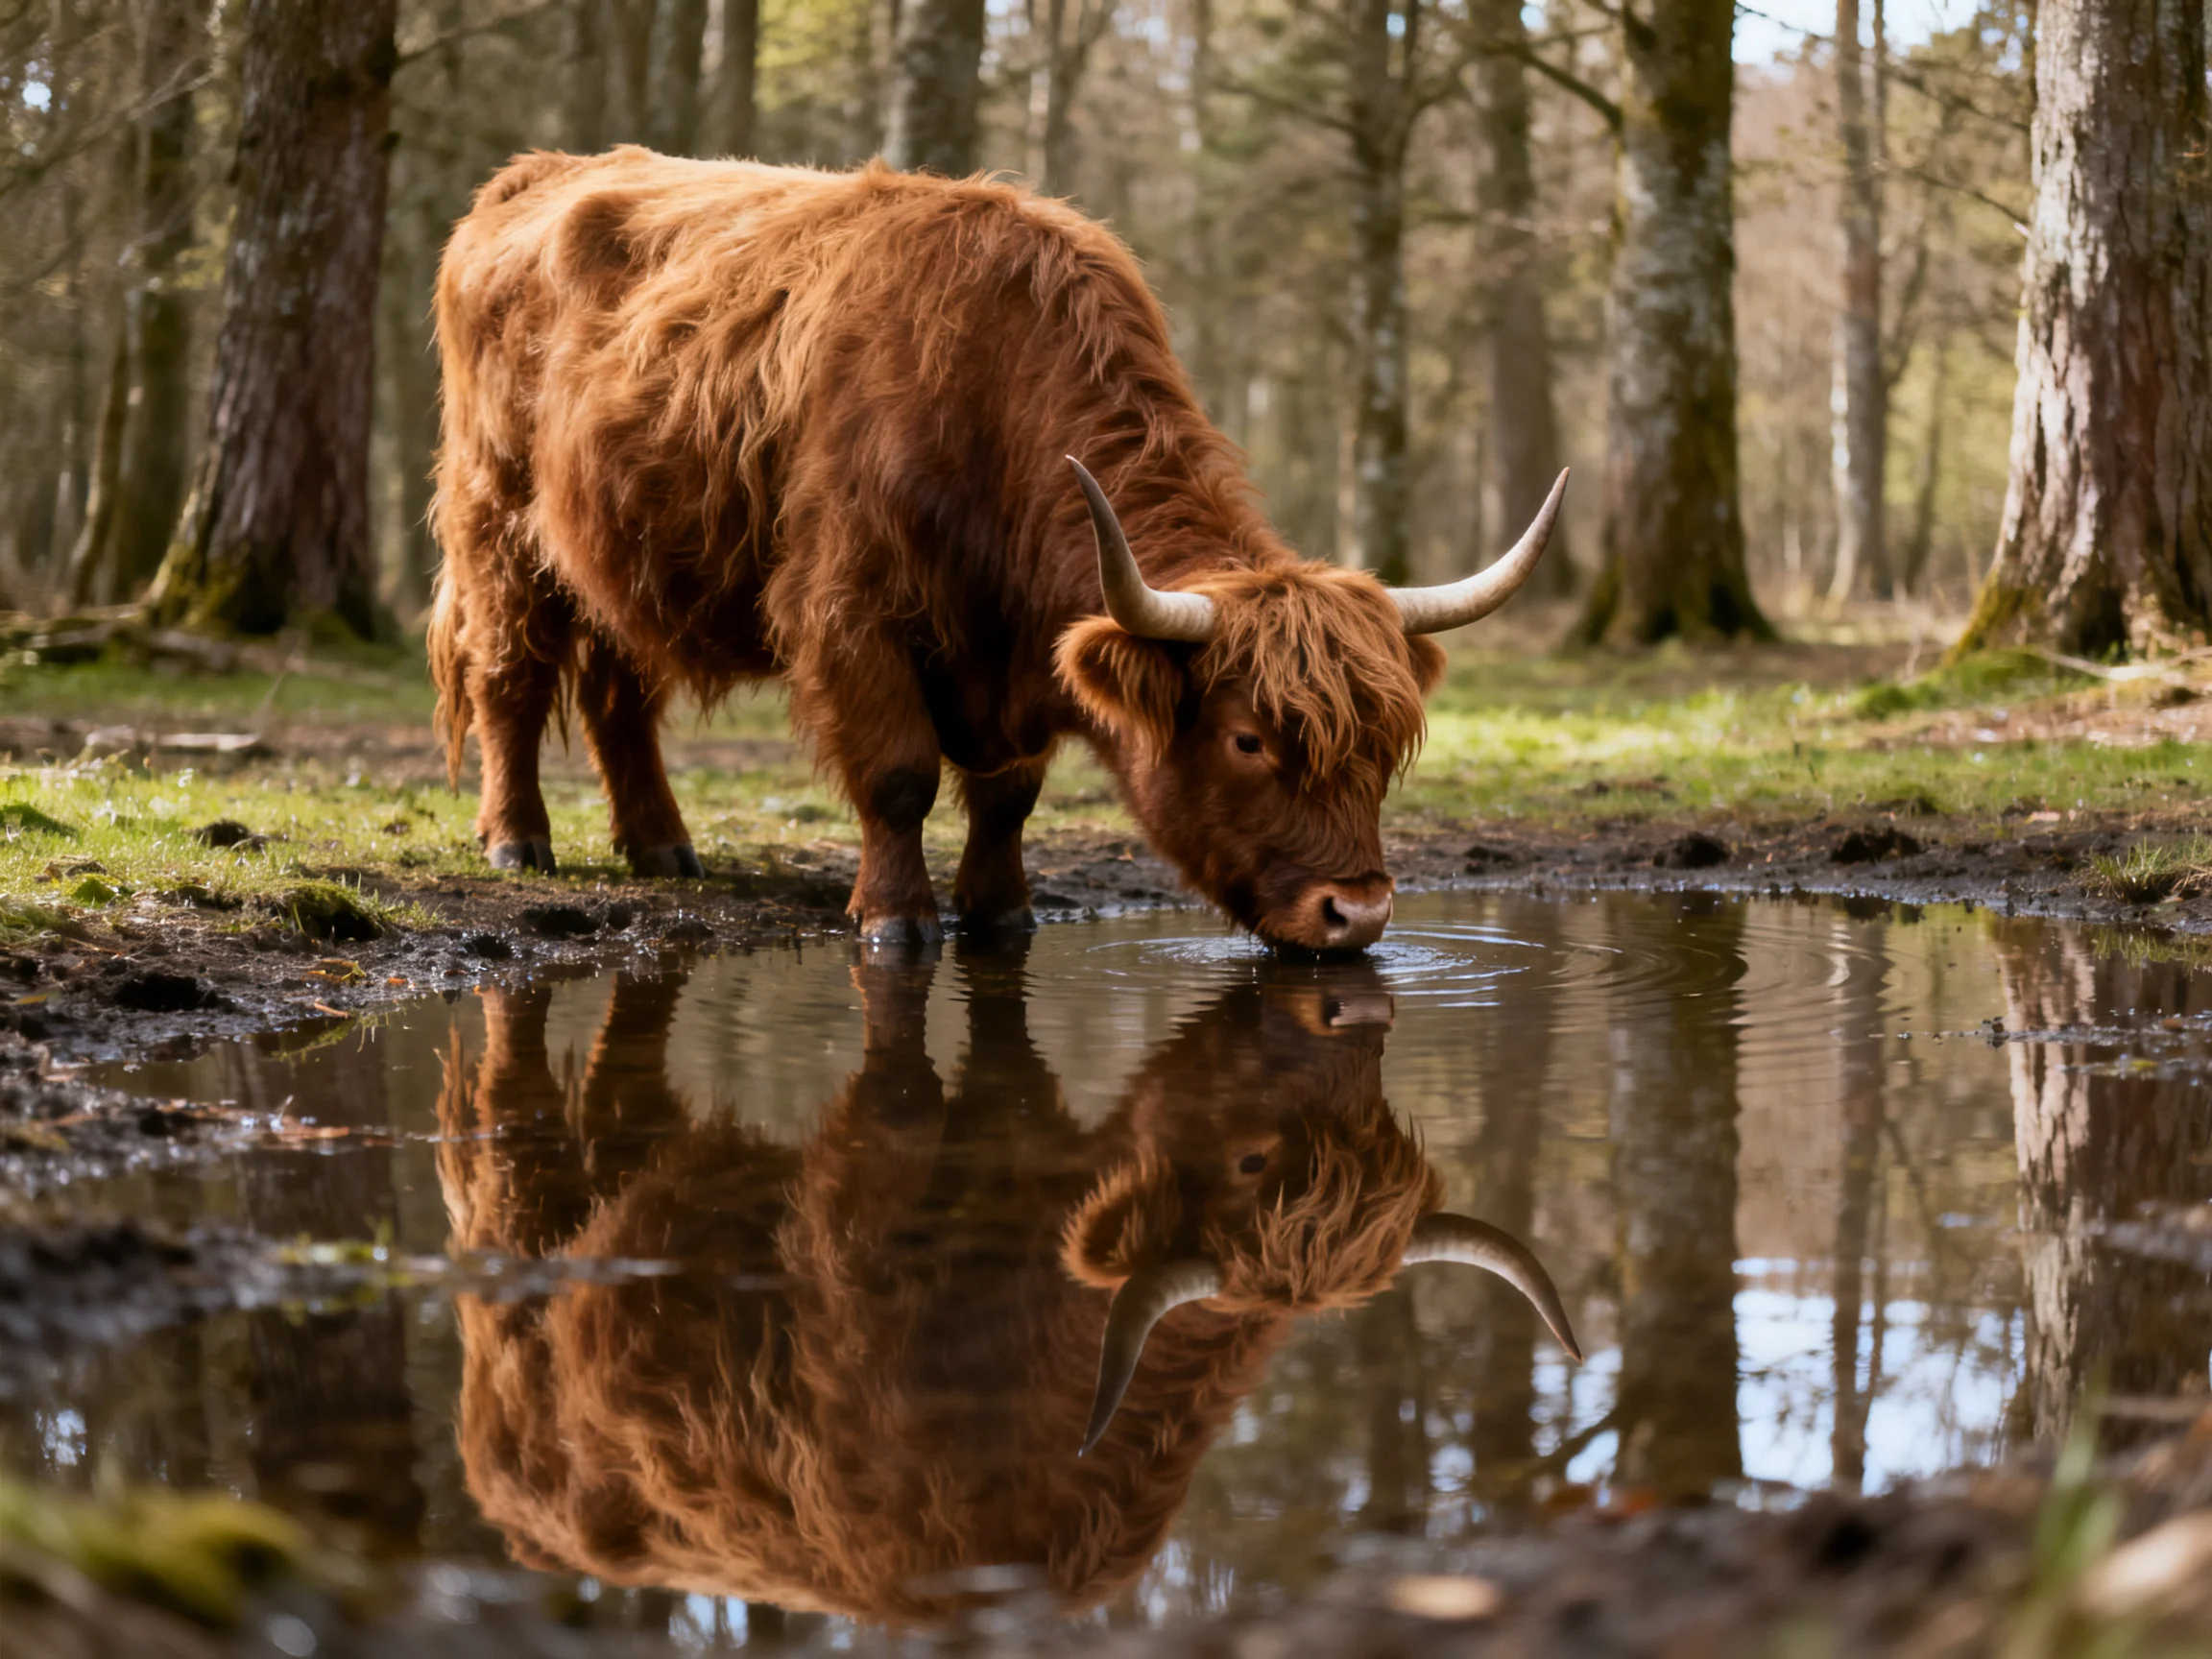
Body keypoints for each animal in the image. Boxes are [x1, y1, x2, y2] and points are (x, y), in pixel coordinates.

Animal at [429, 149, 1565, 951]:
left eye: (1385, 745)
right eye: (1248, 741)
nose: (1359, 915)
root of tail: (534, 175)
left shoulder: (1019, 653)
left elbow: (1009, 795)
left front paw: (1000, 911)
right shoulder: (853, 611)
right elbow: (899, 779)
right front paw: (898, 918)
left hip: (613, 554)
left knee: (619, 693)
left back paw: (662, 846)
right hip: (499, 523)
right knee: (509, 677)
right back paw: (519, 840)